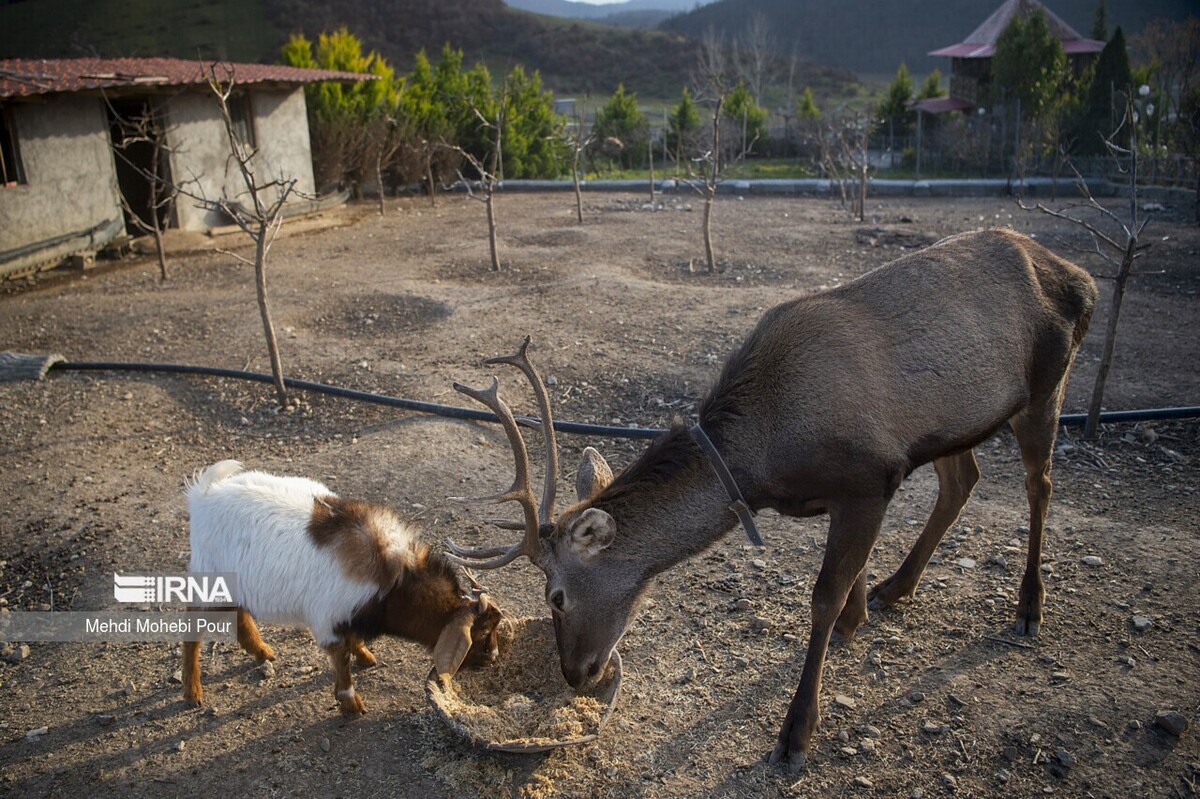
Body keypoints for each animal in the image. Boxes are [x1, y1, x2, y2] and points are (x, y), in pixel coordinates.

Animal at [180, 458, 504, 710]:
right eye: (481, 632)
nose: (493, 660)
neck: (394, 580)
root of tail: (204, 493)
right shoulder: (328, 617)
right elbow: (340, 655)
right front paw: (350, 704)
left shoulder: (350, 612)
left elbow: (354, 640)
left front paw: (367, 657)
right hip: (208, 575)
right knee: (192, 625)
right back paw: (192, 692)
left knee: (239, 613)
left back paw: (262, 652)